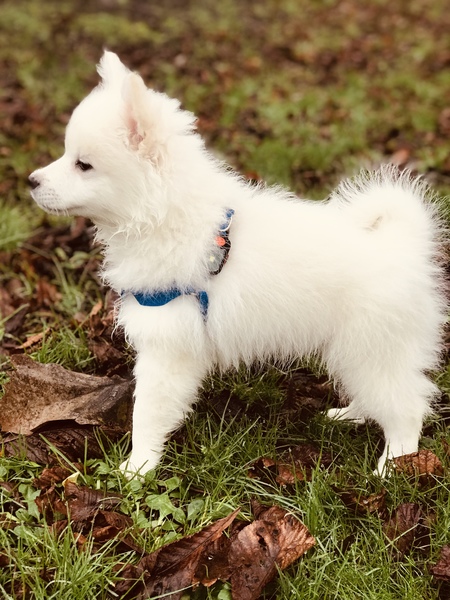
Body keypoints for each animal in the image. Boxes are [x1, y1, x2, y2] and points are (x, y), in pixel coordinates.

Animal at [29, 51, 446, 476]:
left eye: (83, 165)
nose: (32, 181)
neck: (164, 217)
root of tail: (403, 246)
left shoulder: (167, 348)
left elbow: (146, 413)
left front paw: (136, 470)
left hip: (372, 347)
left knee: (406, 407)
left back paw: (393, 467)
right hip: (360, 351)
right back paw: (349, 415)